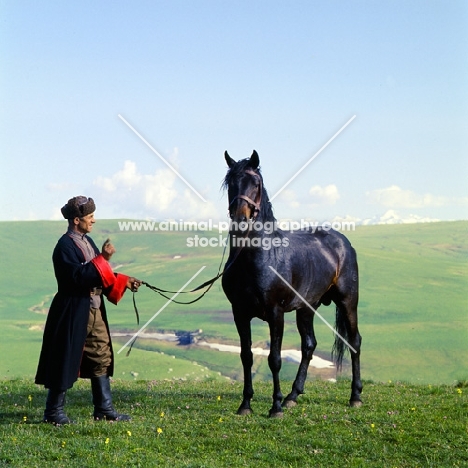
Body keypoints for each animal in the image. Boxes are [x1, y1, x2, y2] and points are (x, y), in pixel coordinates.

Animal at [221, 152, 364, 418]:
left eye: (256, 183)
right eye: (230, 183)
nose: (240, 219)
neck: (258, 257)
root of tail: (343, 243)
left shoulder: (275, 313)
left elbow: (274, 359)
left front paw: (275, 407)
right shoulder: (240, 313)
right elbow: (246, 356)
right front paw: (245, 404)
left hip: (348, 302)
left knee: (354, 341)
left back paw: (355, 396)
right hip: (307, 308)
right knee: (309, 345)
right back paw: (293, 396)